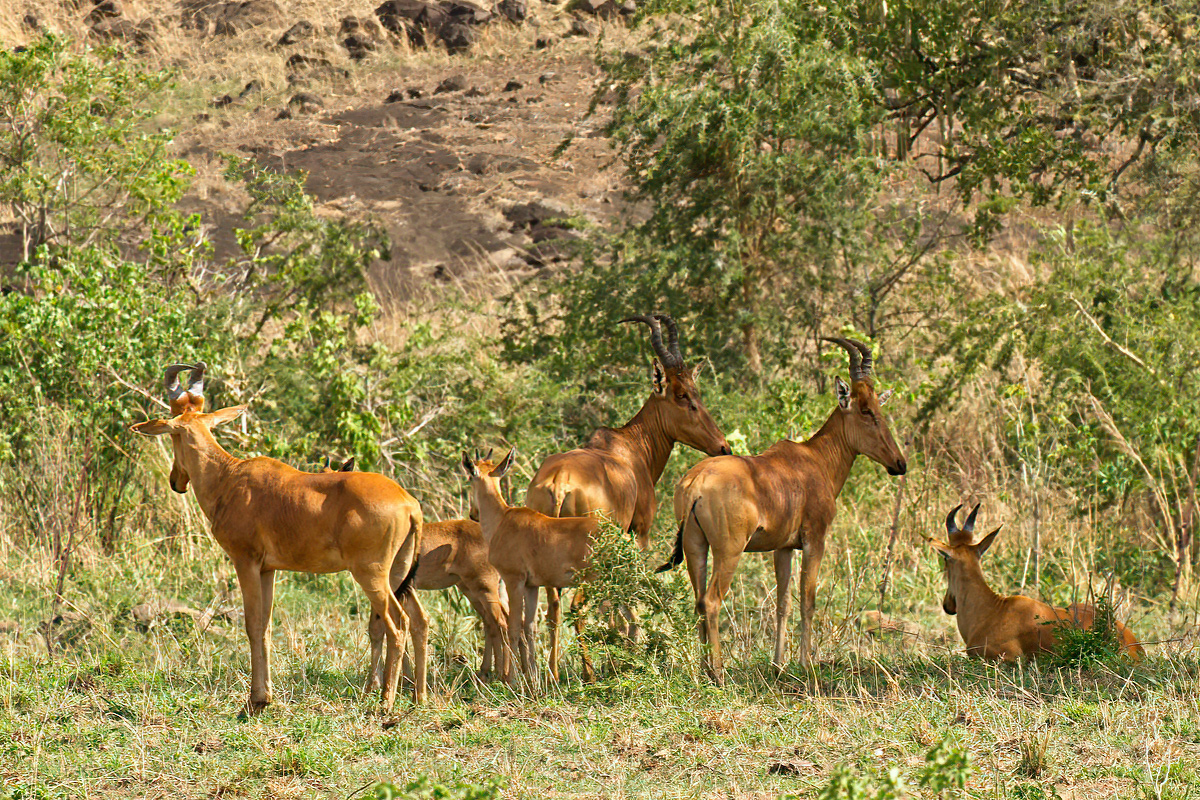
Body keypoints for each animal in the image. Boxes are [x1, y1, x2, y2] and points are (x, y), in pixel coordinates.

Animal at [133, 407, 424, 714]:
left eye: (173, 434)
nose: (175, 481)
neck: (230, 476)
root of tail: (409, 504)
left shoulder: (245, 562)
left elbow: (251, 624)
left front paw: (255, 699)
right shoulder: (268, 570)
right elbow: (266, 625)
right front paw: (266, 697)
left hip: (370, 574)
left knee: (398, 624)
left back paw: (385, 703)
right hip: (396, 575)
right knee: (400, 622)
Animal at [460, 448, 597, 686]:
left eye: (470, 478)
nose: (473, 514)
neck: (503, 519)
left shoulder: (513, 580)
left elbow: (514, 627)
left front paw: (511, 680)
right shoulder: (532, 586)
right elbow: (530, 627)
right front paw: (533, 678)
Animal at [528, 311, 729, 676]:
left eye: (696, 390)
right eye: (682, 395)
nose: (722, 446)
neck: (628, 449)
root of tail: (559, 483)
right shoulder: (639, 532)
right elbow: (625, 592)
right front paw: (630, 645)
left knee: (552, 608)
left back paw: (551, 673)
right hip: (592, 555)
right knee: (578, 605)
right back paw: (589, 674)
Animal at [662, 335, 902, 681]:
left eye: (879, 406)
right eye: (866, 410)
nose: (899, 463)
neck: (814, 458)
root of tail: (697, 483)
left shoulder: (783, 548)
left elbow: (782, 602)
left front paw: (778, 663)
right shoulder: (815, 540)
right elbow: (808, 601)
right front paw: (805, 663)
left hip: (696, 547)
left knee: (697, 600)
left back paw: (706, 668)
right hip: (729, 550)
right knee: (711, 601)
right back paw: (719, 672)